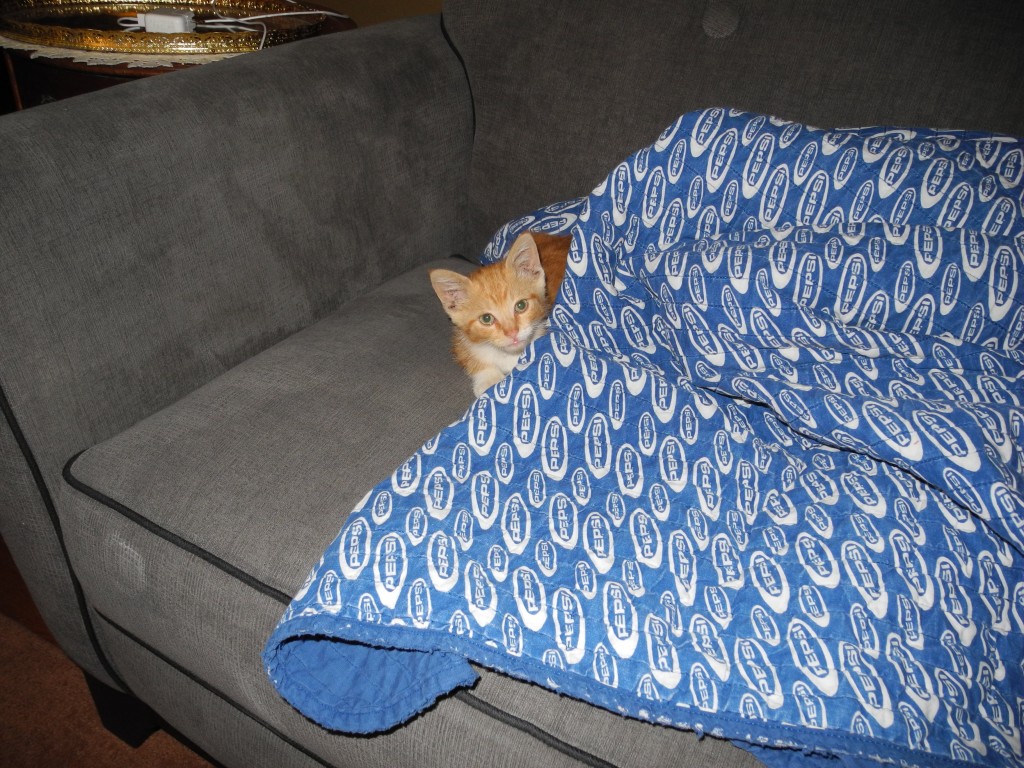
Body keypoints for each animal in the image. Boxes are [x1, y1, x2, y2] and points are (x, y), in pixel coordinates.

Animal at [430, 231, 569, 397]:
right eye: (486, 318)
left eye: (521, 305)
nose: (512, 333)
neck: (508, 355)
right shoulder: (461, 340)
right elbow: (466, 353)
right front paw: (489, 379)